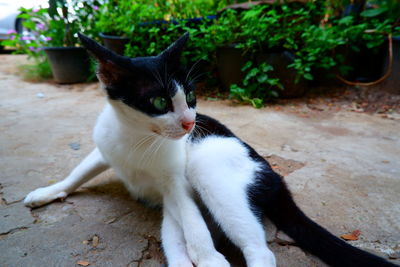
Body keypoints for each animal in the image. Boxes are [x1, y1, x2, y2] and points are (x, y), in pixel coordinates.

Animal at [24, 33, 396, 267]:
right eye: (159, 102)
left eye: (190, 97)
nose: (190, 123)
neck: (138, 138)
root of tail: (277, 179)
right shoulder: (105, 150)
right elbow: (78, 172)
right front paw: (48, 192)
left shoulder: (176, 179)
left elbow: (194, 223)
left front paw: (209, 259)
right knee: (176, 233)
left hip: (207, 163)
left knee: (259, 251)